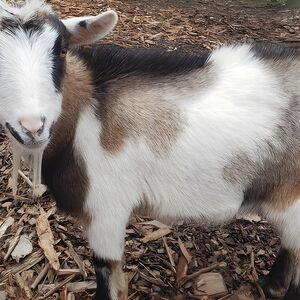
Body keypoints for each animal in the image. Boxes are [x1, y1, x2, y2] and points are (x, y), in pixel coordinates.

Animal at [0, 0, 300, 300]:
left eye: (62, 50)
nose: (33, 127)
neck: (84, 112)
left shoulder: (106, 208)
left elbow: (106, 273)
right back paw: (271, 285)